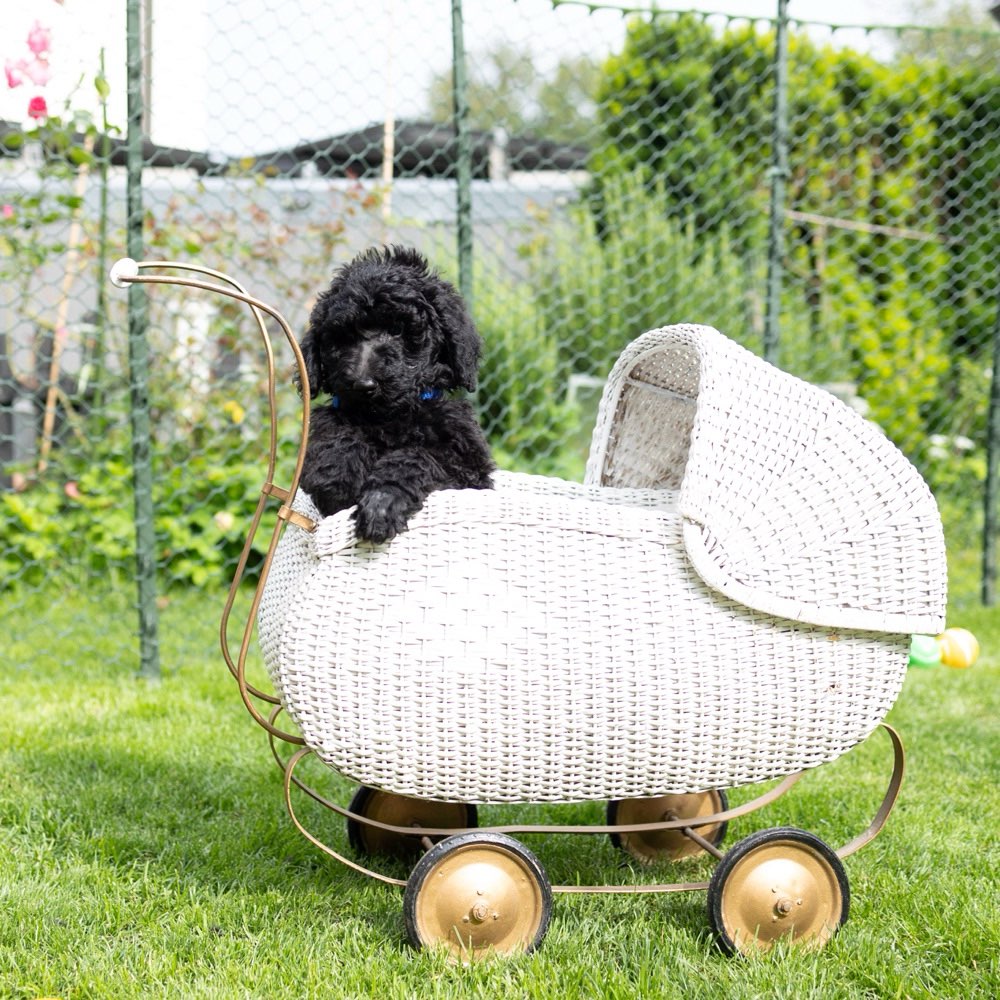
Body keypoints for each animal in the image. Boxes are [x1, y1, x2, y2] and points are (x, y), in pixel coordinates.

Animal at [298, 246, 498, 544]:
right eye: (342, 339)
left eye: (397, 330)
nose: (363, 385)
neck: (389, 418)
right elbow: (336, 437)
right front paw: (339, 474)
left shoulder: (468, 467)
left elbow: (418, 457)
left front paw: (382, 503)